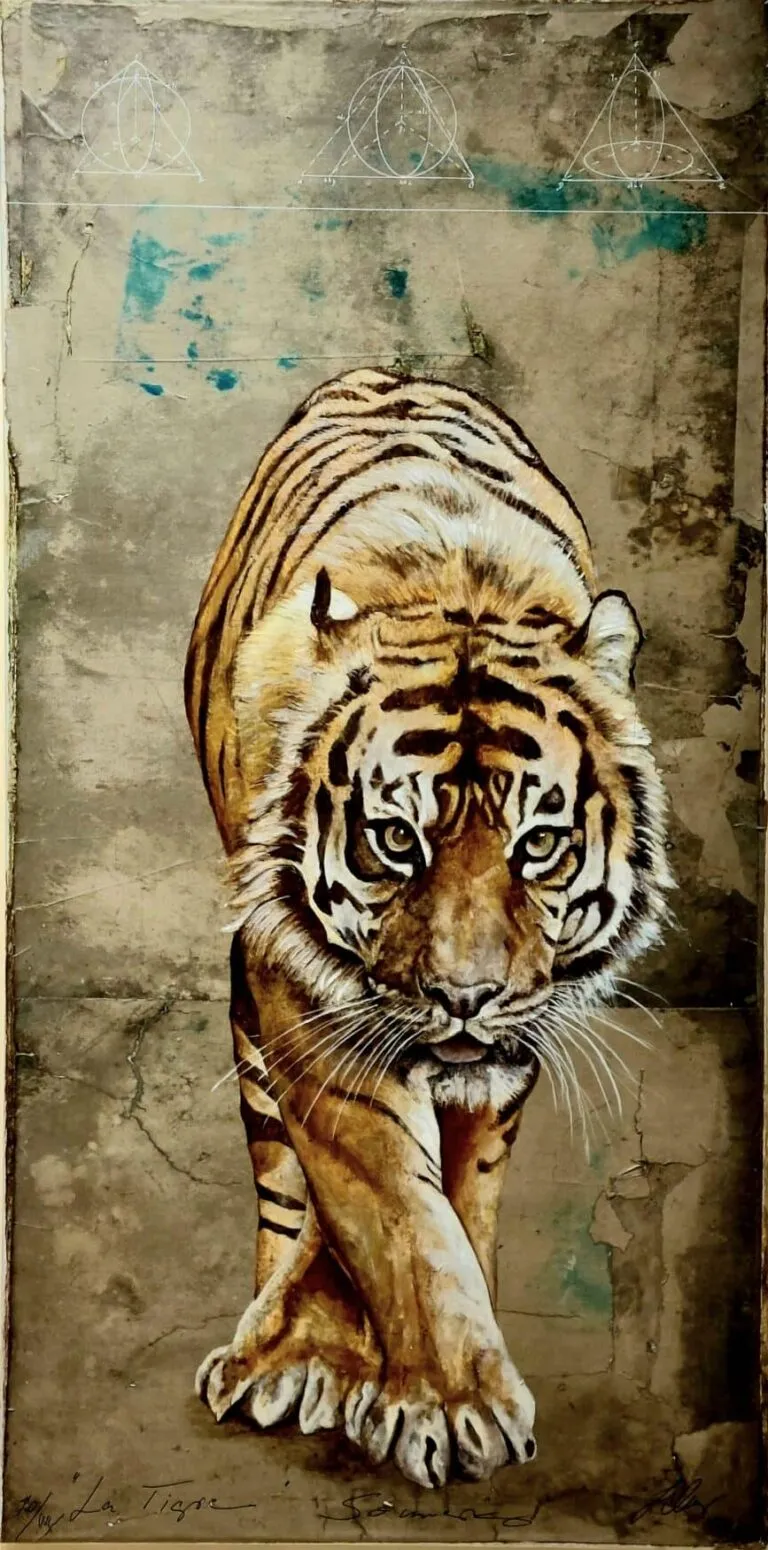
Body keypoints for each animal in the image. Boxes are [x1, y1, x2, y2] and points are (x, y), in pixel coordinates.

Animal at [184, 366, 671, 1490]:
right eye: (394, 839)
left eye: (540, 842)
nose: (464, 996)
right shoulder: (309, 996)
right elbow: (391, 1207)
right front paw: (447, 1401)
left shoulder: (502, 1050)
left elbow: (451, 1192)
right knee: (283, 1175)